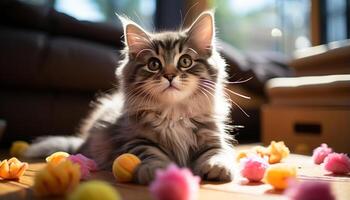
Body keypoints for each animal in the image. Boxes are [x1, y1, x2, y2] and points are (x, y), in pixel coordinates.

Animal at [24, 11, 235, 184]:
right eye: (154, 64)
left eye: (185, 61)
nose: (169, 76)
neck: (173, 113)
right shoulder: (134, 139)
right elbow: (150, 152)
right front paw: (155, 168)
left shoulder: (213, 136)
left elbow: (217, 152)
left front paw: (218, 166)